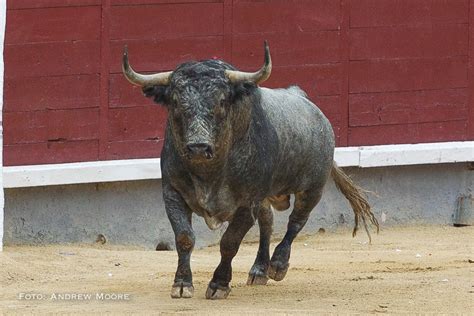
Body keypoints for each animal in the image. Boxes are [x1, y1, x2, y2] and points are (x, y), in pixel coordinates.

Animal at [122, 41, 378, 298]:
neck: (209, 172)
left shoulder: (247, 203)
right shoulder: (172, 193)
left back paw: (277, 265)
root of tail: (305, 100)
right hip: (266, 196)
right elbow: (184, 238)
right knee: (268, 221)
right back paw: (259, 270)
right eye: (175, 101)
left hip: (312, 188)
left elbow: (230, 242)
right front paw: (182, 284)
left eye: (222, 101)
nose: (198, 147)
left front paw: (219, 284)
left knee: (296, 221)